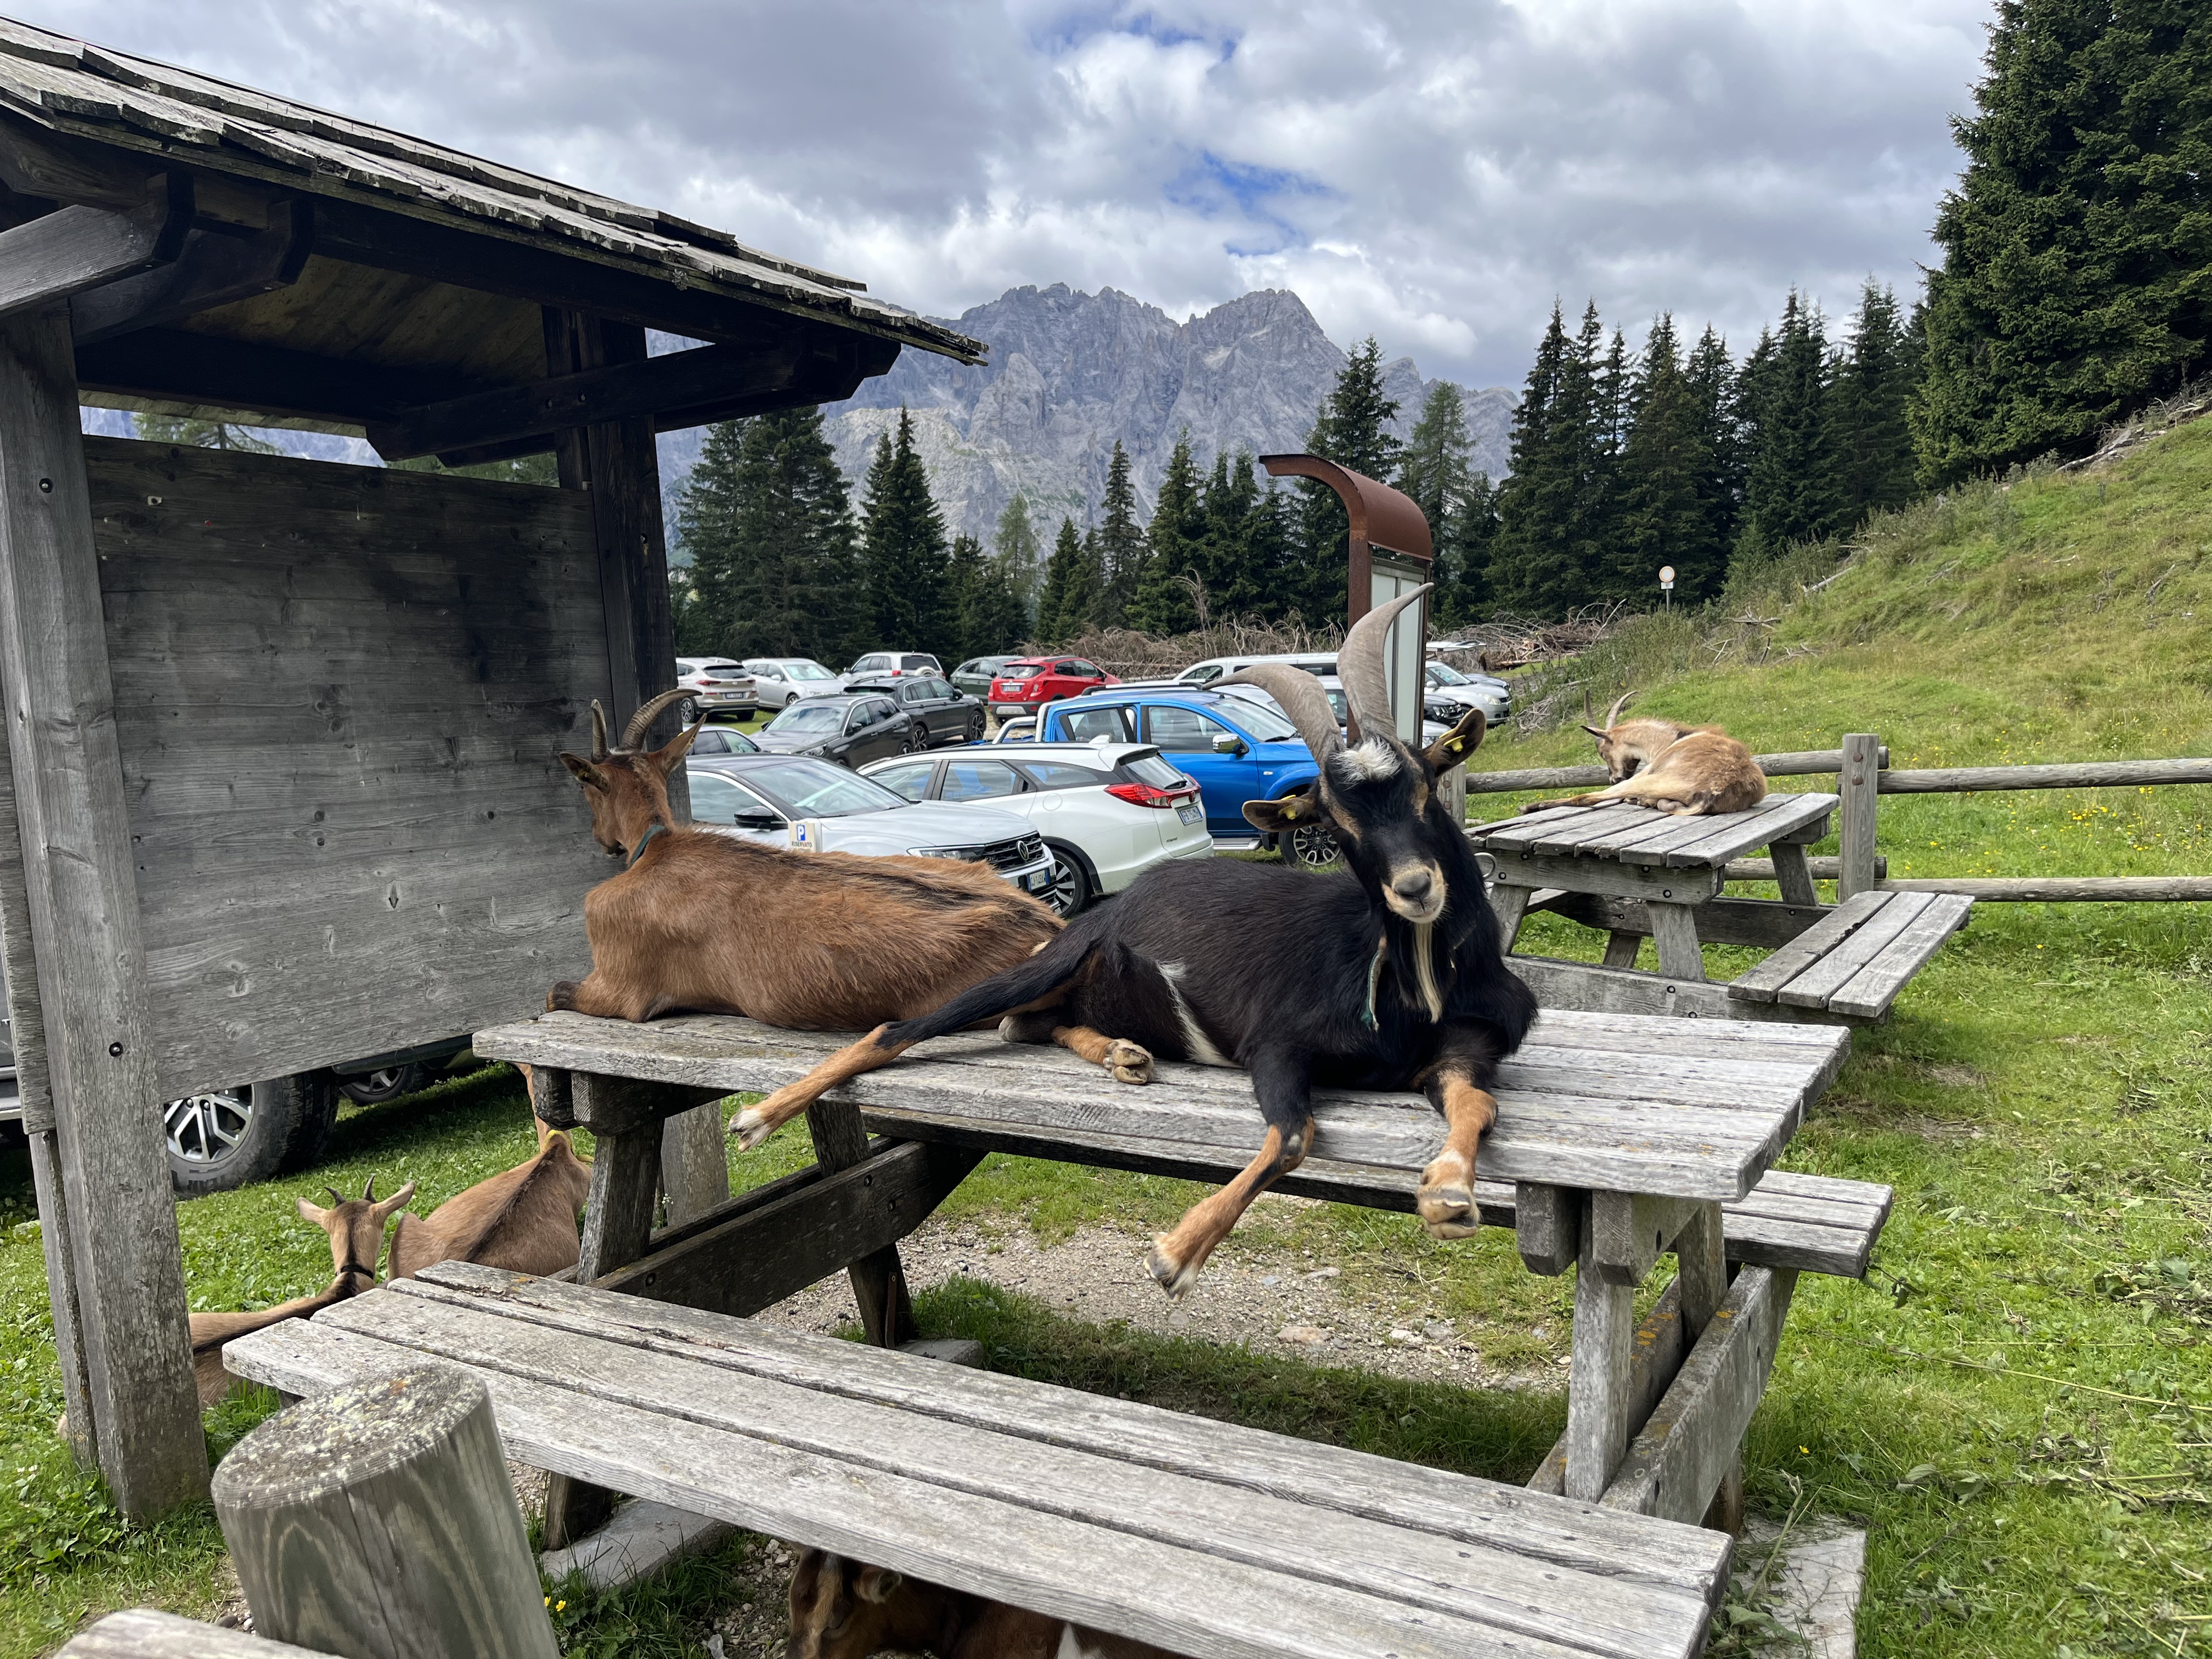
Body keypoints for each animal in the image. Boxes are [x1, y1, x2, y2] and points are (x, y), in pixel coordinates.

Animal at [551, 694, 1139, 1077]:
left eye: (588, 788)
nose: (602, 840)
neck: (657, 849)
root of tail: (1053, 928)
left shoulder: (622, 987)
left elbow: (557, 991)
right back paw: (1121, 1054)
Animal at [733, 588, 1537, 1295]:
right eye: (1336, 825)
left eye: (1425, 784)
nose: (1415, 888)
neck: (1407, 985)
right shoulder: (1276, 1042)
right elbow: (1293, 1136)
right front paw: (1179, 1253)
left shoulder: (1469, 1046)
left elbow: (1477, 1104)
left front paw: (1448, 1193)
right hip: (1047, 964)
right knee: (909, 1027)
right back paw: (759, 1117)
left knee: (1029, 1026)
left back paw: (1123, 1053)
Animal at [1520, 694, 1766, 816]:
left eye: (1602, 752)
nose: (1614, 778)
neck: (1670, 740)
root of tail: (1719, 787)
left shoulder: (1647, 771)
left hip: (1650, 781)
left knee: (1587, 798)